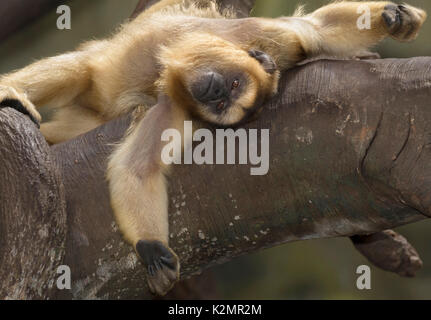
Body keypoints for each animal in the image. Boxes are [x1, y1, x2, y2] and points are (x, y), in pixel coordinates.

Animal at [0, 0, 426, 296]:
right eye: (233, 85)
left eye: (228, 102)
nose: (217, 94)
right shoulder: (263, 37)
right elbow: (312, 31)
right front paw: (392, 16)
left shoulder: (178, 109)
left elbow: (137, 168)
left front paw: (150, 247)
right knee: (81, 68)